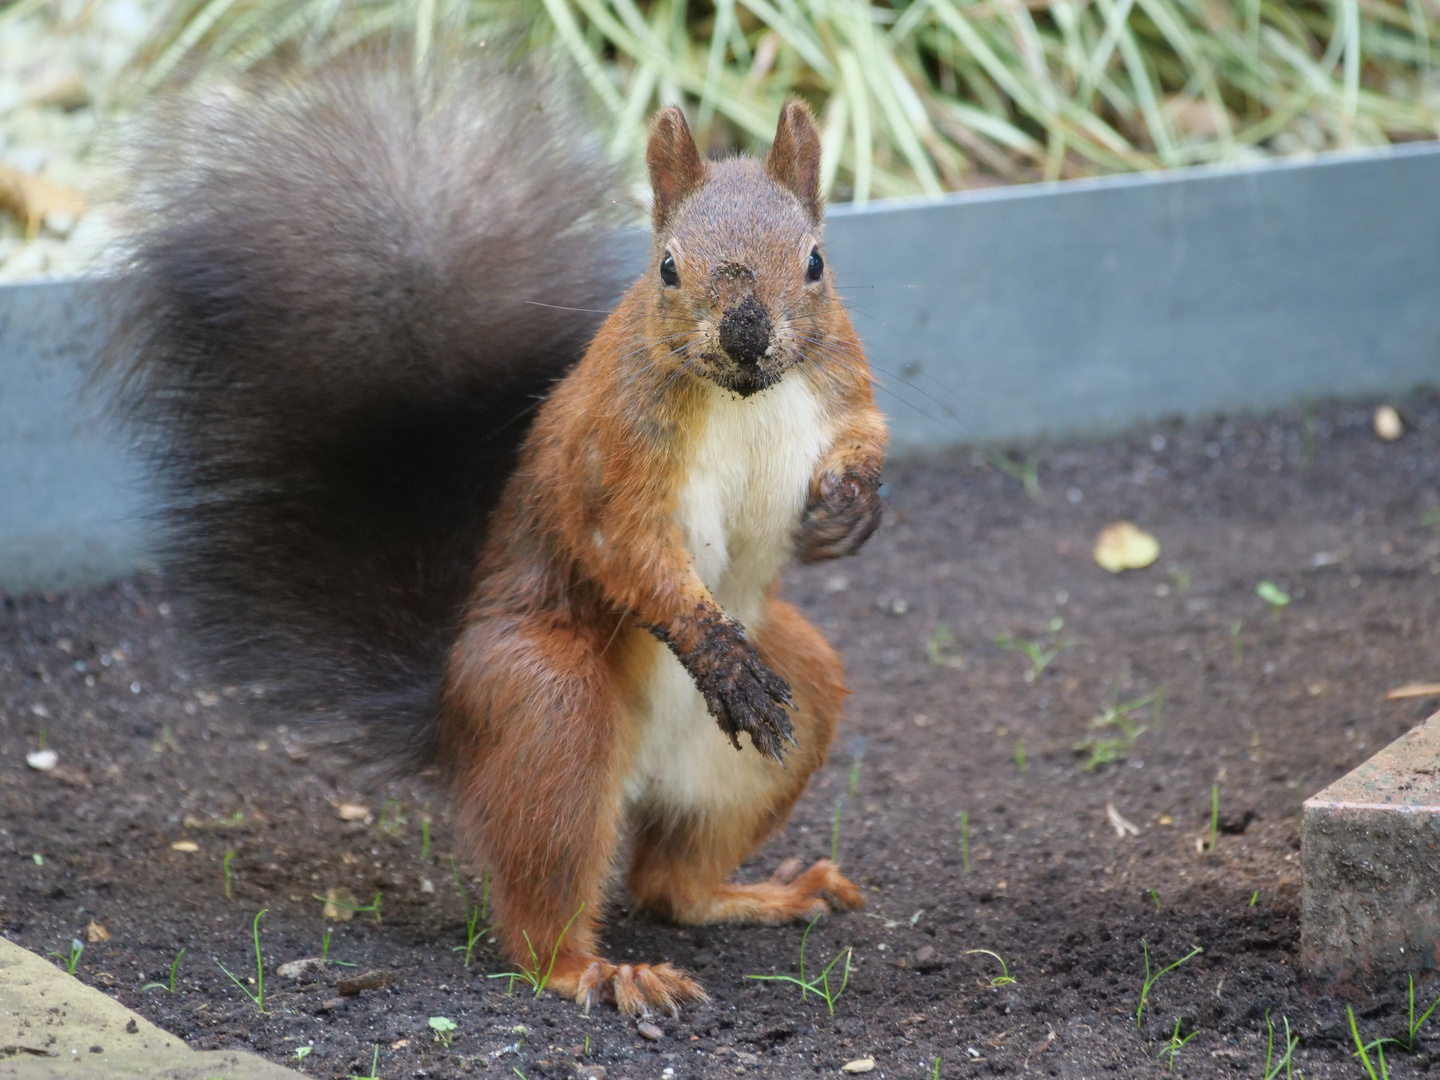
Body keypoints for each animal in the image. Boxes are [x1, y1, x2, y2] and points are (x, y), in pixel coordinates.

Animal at [106, 55, 881, 1019]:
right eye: (667, 268)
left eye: (816, 261)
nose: (746, 334)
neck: (744, 396)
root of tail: (449, 712)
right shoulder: (609, 459)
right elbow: (628, 549)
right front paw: (718, 652)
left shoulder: (843, 381)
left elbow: (863, 436)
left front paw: (851, 504)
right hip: (548, 710)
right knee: (546, 912)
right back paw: (600, 970)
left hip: (797, 701)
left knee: (673, 885)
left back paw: (761, 893)